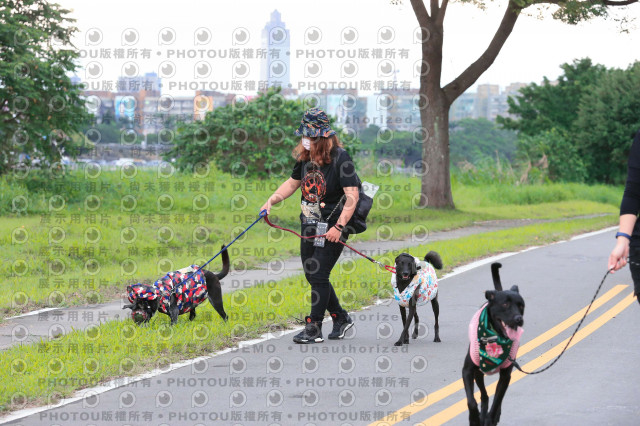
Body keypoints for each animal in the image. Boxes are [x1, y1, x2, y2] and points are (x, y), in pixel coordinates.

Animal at [462, 262, 525, 426]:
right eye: (505, 304)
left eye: (521, 305)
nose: (519, 319)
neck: (494, 338)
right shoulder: (467, 371)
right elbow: (471, 401)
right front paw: (474, 418)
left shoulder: (506, 375)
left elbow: (498, 400)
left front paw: (491, 418)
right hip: (478, 372)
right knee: (484, 395)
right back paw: (481, 415)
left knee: (495, 398)